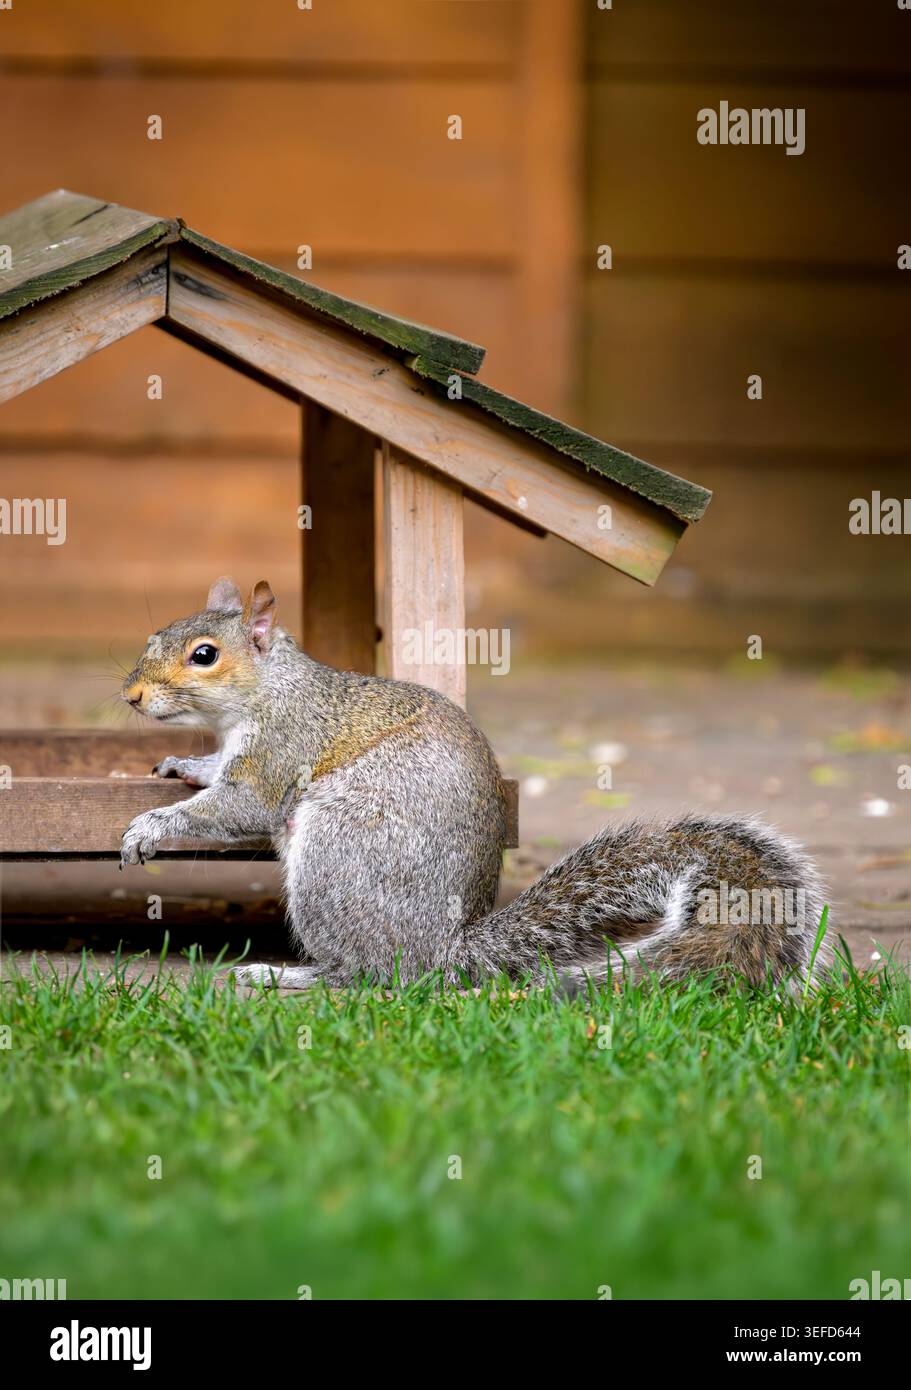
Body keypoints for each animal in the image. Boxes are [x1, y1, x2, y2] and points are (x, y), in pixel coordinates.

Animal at [120, 577, 828, 992]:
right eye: (153, 636)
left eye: (205, 655)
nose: (130, 697)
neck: (267, 692)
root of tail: (444, 948)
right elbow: (215, 775)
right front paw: (183, 767)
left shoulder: (282, 748)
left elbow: (239, 805)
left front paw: (150, 827)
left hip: (339, 853)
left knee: (373, 973)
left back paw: (290, 974)